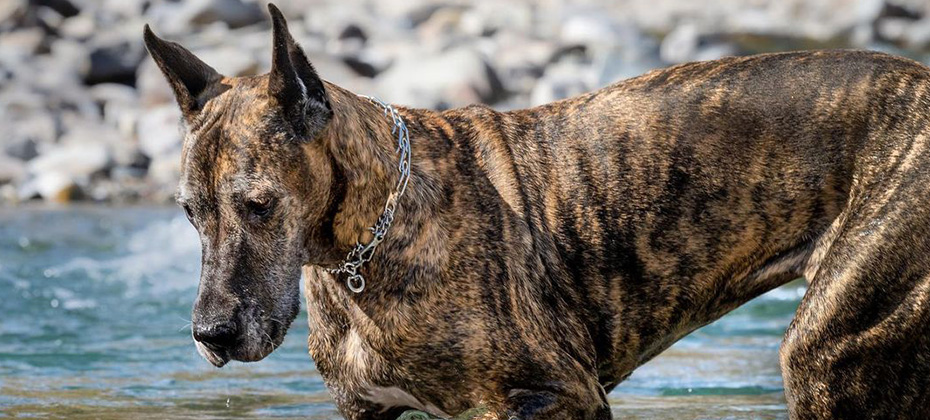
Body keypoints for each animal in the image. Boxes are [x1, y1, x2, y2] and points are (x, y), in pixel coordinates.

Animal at [141, 4, 928, 420]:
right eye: (190, 214)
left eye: (258, 205)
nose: (209, 333)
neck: (364, 246)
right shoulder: (367, 408)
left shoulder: (556, 396)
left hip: (830, 354)